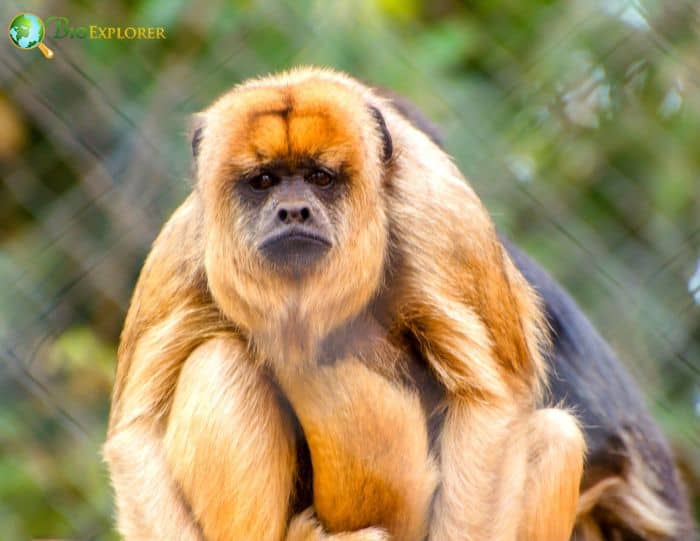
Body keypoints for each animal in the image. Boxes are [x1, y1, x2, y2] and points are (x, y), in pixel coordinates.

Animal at [104, 66, 586, 541]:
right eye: (264, 181)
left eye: (321, 178)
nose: (293, 211)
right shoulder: (185, 247)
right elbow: (134, 436)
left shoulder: (441, 220)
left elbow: (490, 403)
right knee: (220, 361)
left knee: (556, 436)